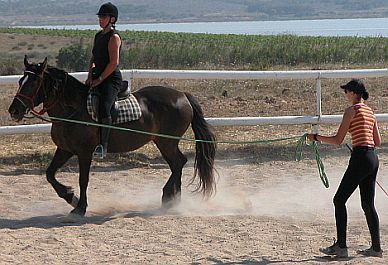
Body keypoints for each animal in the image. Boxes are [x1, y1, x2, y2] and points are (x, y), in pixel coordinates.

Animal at [8, 56, 218, 216]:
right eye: (20, 82)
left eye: (33, 83)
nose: (14, 110)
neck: (73, 110)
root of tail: (182, 95)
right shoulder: (65, 149)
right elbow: (49, 174)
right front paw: (70, 196)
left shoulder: (84, 152)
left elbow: (83, 180)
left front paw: (80, 207)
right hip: (165, 142)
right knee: (177, 163)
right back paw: (174, 200)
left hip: (167, 142)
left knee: (178, 163)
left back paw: (168, 196)